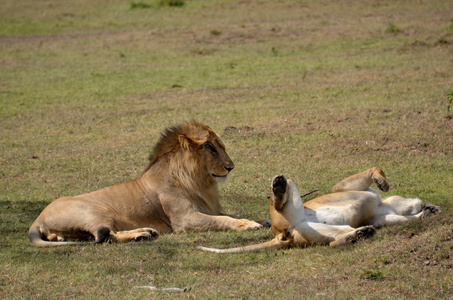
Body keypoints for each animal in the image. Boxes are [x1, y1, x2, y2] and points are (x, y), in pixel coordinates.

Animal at [29, 120, 262, 247]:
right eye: (211, 148)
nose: (231, 167)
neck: (199, 181)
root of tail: (37, 219)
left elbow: (230, 215)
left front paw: (261, 220)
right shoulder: (184, 220)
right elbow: (222, 220)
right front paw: (248, 225)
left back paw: (146, 232)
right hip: (96, 211)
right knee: (104, 235)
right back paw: (142, 235)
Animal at [198, 168, 438, 252]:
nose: (420, 202)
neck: (384, 204)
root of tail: (278, 234)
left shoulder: (382, 218)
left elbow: (403, 219)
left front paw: (427, 212)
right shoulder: (343, 188)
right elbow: (371, 171)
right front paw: (381, 180)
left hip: (318, 229)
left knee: (335, 240)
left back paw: (358, 235)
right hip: (293, 203)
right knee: (279, 200)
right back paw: (278, 187)